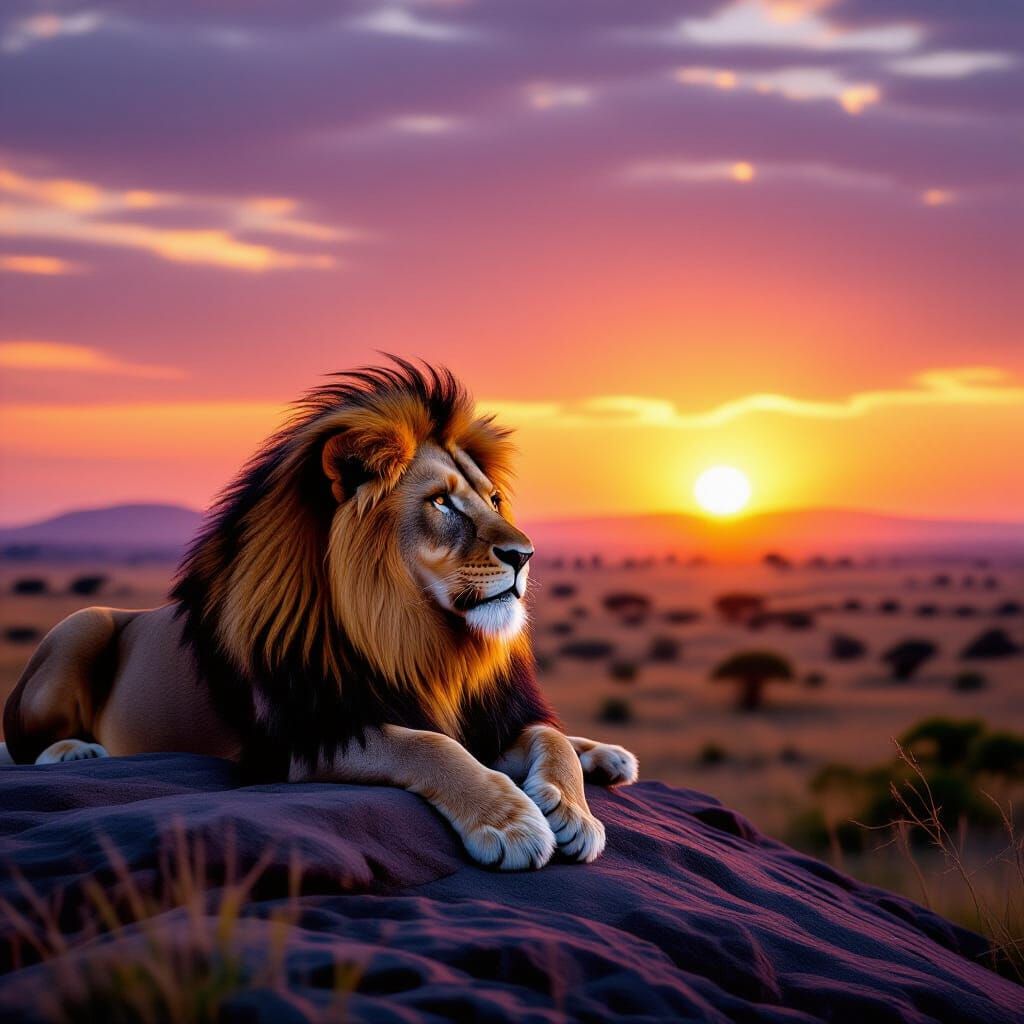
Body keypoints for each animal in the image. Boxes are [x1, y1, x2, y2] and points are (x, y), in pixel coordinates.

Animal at [3, 358, 637, 869]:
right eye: (440, 502)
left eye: (494, 499)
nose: (525, 555)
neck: (417, 636)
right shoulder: (303, 738)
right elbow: (428, 746)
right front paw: (511, 824)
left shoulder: (485, 715)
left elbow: (547, 736)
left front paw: (575, 811)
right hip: (82, 622)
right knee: (22, 742)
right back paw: (76, 751)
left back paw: (608, 755)